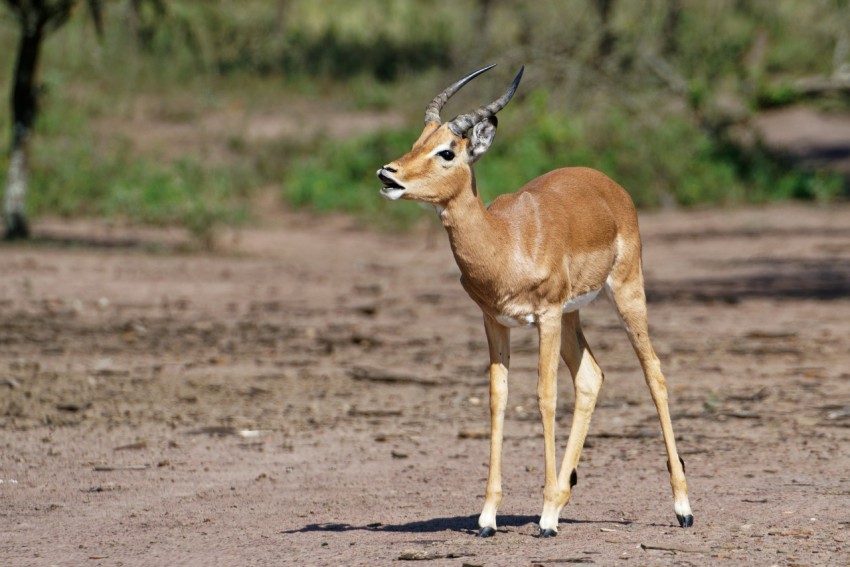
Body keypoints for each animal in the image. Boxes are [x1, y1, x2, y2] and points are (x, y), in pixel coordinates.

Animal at [376, 64, 693, 538]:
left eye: (448, 151)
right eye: (419, 140)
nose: (387, 174)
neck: (506, 241)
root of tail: (608, 184)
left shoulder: (545, 315)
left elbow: (544, 395)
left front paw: (545, 517)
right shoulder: (495, 321)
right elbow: (498, 398)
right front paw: (488, 517)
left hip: (625, 293)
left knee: (653, 372)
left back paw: (681, 508)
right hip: (572, 316)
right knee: (591, 377)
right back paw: (565, 492)